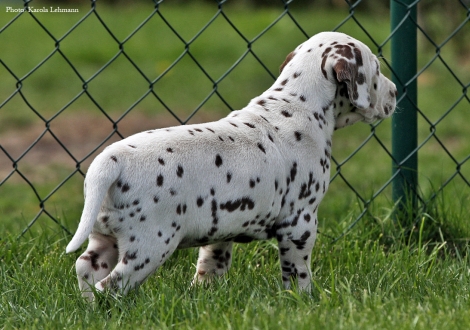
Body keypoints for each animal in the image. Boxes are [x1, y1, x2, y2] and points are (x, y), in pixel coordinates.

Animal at [66, 31, 396, 300]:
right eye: (377, 70)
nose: (394, 91)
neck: (297, 105)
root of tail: (111, 161)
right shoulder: (299, 223)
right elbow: (297, 273)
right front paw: (304, 300)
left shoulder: (219, 233)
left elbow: (210, 267)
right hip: (149, 247)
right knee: (110, 287)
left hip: (103, 237)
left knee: (85, 269)